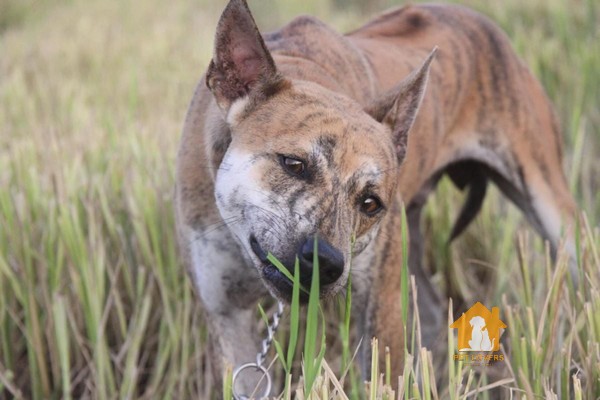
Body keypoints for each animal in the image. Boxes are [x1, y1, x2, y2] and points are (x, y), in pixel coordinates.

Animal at [176, 0, 580, 394]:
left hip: (551, 205)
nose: (325, 262)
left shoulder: (381, 313)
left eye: (370, 203)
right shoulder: (229, 318)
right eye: (294, 164)